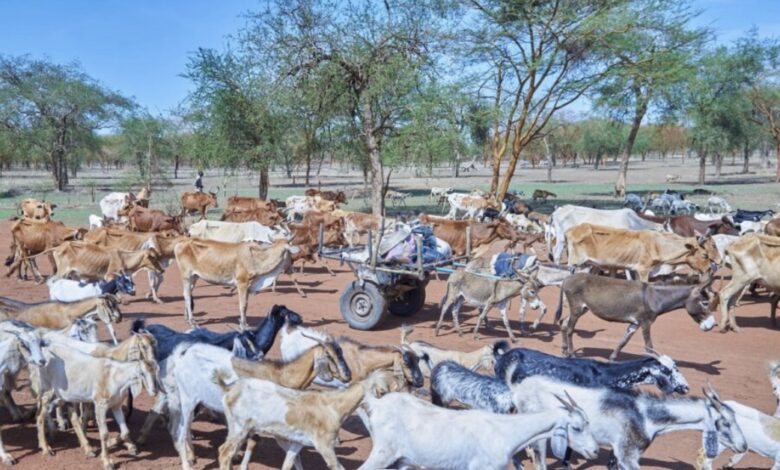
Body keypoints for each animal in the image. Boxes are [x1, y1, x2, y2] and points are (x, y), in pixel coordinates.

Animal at [35, 341, 158, 469]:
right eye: (142, 373)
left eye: (156, 371)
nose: (154, 391)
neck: (114, 376)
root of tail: (46, 351)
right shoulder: (100, 405)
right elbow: (104, 434)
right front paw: (107, 462)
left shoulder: (116, 405)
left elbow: (125, 431)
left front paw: (125, 447)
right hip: (47, 390)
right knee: (40, 416)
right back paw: (46, 449)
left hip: (64, 395)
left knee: (72, 417)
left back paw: (88, 449)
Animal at [214, 369, 393, 470]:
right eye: (383, 391)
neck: (333, 407)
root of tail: (230, 388)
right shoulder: (325, 446)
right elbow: (338, 467)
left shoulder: (297, 442)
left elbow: (289, 464)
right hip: (239, 429)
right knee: (224, 453)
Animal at [358, 389, 597, 470]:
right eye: (577, 427)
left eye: (588, 423)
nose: (594, 451)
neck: (505, 432)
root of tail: (376, 404)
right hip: (382, 453)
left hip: (403, 461)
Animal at [509, 374, 748, 470]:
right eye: (725, 422)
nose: (743, 446)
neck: (644, 415)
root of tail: (520, 386)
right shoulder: (628, 454)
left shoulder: (621, 455)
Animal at [565, 223, 720, 282]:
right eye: (705, 255)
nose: (710, 269)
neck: (658, 244)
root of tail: (571, 230)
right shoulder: (643, 269)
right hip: (574, 264)